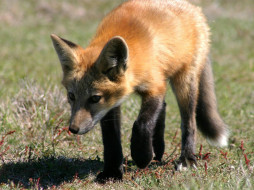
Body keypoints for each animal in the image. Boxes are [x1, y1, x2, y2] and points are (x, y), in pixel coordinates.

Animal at [50, 0, 227, 182]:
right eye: (71, 96)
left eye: (94, 98)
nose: (73, 129)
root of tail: (194, 8)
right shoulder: (112, 102)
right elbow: (111, 139)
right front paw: (112, 172)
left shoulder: (155, 86)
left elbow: (142, 123)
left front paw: (142, 155)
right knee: (164, 107)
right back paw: (158, 149)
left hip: (184, 82)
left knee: (189, 122)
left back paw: (187, 158)